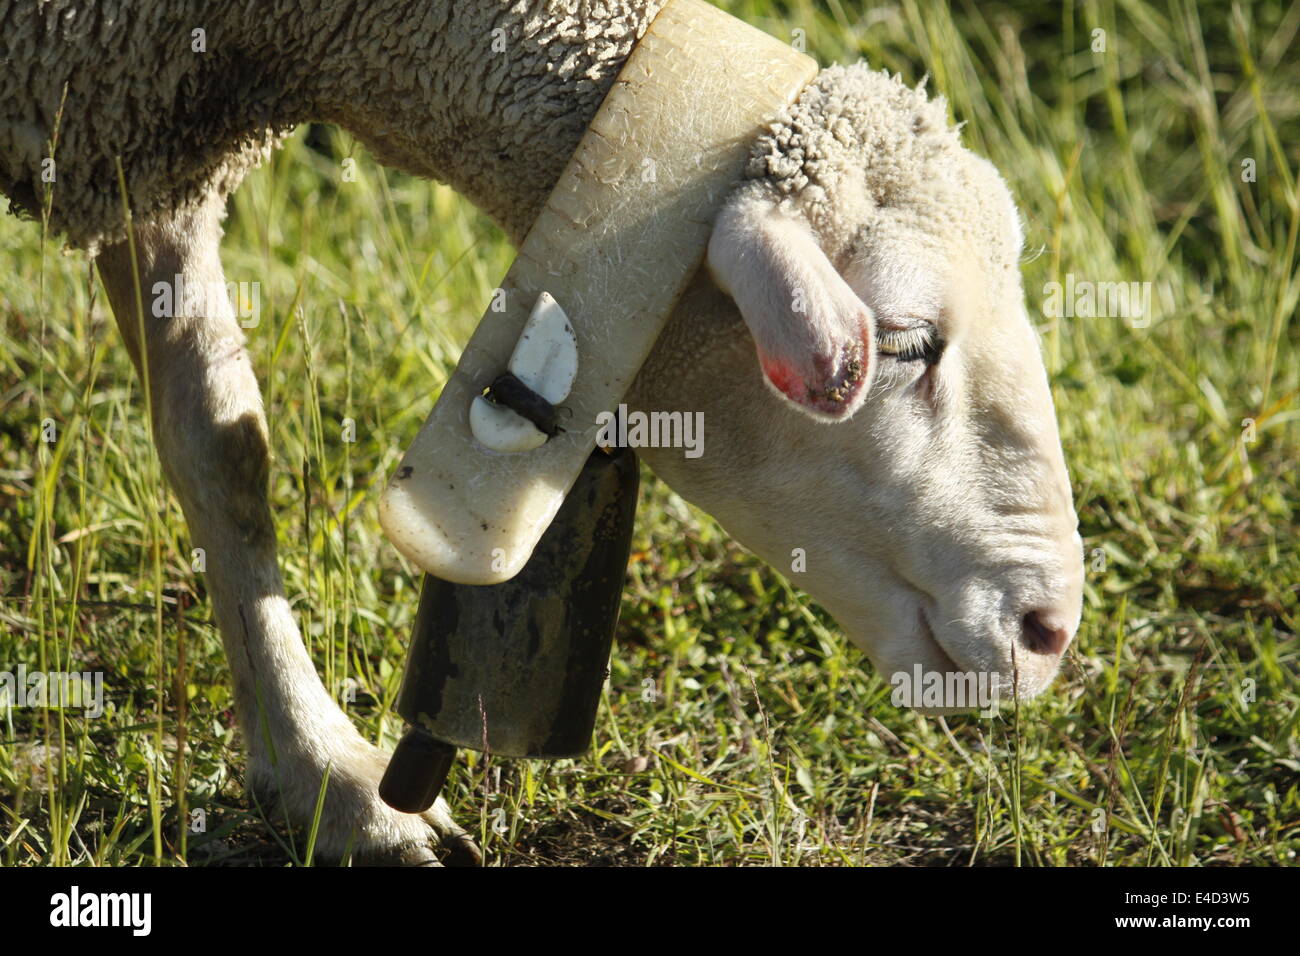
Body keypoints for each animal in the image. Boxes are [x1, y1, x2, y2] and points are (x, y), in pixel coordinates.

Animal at [1, 1, 1084, 865]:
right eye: (903, 340)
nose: (1051, 630)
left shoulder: (145, 128)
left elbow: (223, 445)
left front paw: (322, 779)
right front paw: (338, 777)